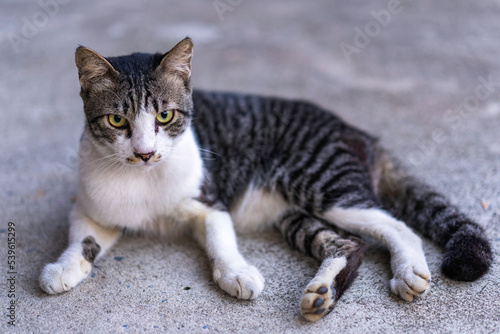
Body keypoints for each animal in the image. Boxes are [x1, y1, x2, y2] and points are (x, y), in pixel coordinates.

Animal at [39, 36, 492, 320]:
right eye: (117, 120)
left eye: (165, 116)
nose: (145, 152)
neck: (143, 181)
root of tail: (359, 133)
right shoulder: (91, 205)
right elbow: (83, 237)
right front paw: (63, 267)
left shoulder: (210, 200)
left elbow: (221, 238)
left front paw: (236, 273)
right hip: (295, 214)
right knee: (349, 243)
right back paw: (321, 295)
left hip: (324, 184)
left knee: (395, 224)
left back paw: (408, 271)